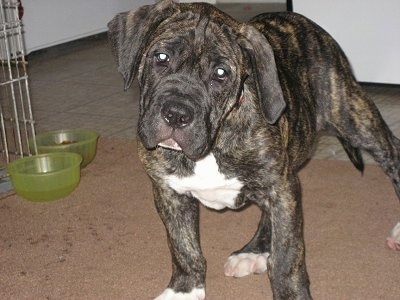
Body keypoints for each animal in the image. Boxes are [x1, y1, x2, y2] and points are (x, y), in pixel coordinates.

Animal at [108, 0, 398, 300]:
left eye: (221, 74)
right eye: (161, 57)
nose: (176, 114)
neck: (215, 141)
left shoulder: (281, 188)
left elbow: (286, 256)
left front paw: (291, 293)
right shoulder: (168, 192)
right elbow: (183, 246)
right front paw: (184, 289)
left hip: (355, 119)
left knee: (393, 154)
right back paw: (254, 252)